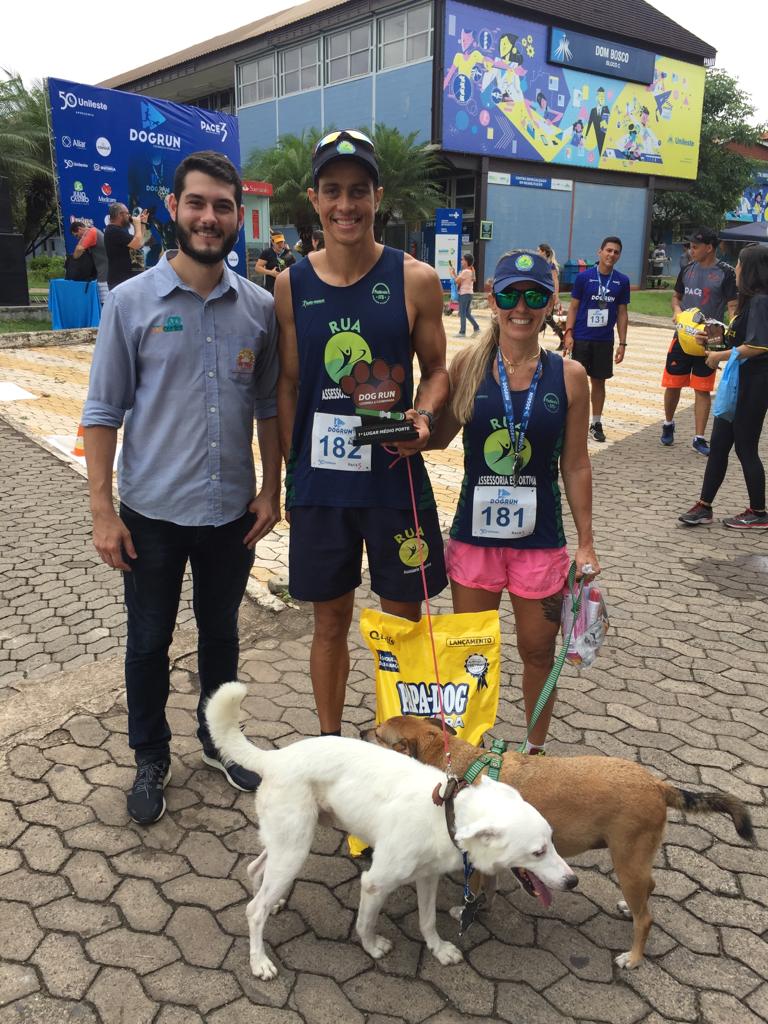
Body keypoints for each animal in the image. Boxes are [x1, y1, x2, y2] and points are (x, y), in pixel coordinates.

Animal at [204, 684, 577, 978]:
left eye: (552, 842)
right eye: (538, 851)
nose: (573, 881)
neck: (446, 814)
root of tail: (276, 758)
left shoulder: (428, 878)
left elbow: (427, 921)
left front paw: (439, 949)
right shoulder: (374, 883)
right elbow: (365, 923)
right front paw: (372, 948)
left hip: (289, 842)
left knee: (256, 870)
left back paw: (274, 902)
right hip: (295, 849)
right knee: (253, 911)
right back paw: (259, 961)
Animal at [368, 712, 757, 966]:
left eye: (377, 732)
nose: (363, 731)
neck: (454, 762)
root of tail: (658, 785)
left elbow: (474, 889)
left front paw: (468, 909)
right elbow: (489, 887)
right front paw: (482, 907)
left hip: (627, 861)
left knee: (646, 918)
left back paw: (633, 958)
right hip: (636, 861)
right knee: (650, 888)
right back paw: (626, 908)